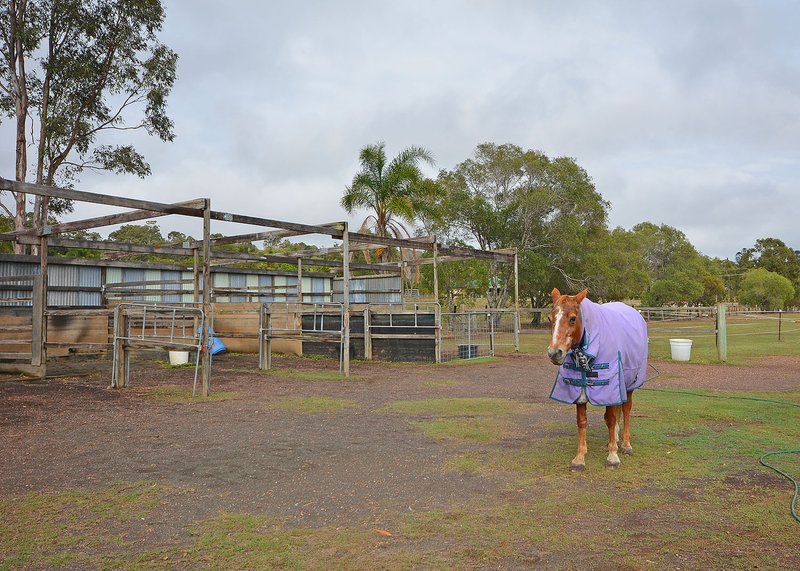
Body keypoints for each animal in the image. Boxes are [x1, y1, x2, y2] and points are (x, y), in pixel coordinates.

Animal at [548, 288, 648, 472]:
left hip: (630, 385)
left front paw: (613, 456)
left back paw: (625, 444)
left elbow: (611, 419)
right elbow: (582, 422)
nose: (554, 353)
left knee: (626, 410)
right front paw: (580, 458)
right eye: (550, 318)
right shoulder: (580, 390)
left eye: (573, 318)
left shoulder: (610, 389)